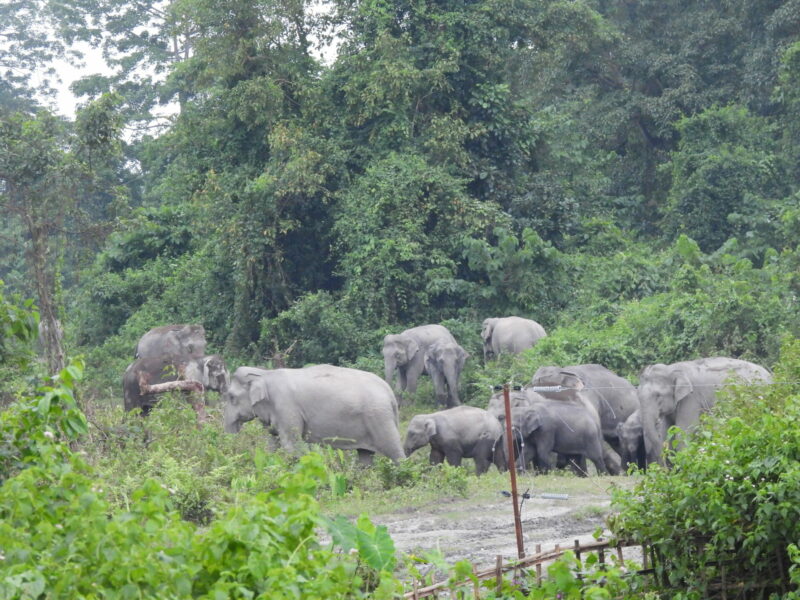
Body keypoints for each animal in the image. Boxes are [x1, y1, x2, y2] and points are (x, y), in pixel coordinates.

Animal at [222, 360, 404, 464]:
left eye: (231, 397)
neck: (265, 374)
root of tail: (389, 392)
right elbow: (272, 443)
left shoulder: (286, 407)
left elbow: (291, 446)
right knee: (365, 455)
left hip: (379, 417)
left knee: (394, 451)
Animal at [636, 354, 772, 466]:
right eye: (638, 395)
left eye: (658, 395)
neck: (672, 368)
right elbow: (667, 431)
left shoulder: (691, 399)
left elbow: (684, 431)